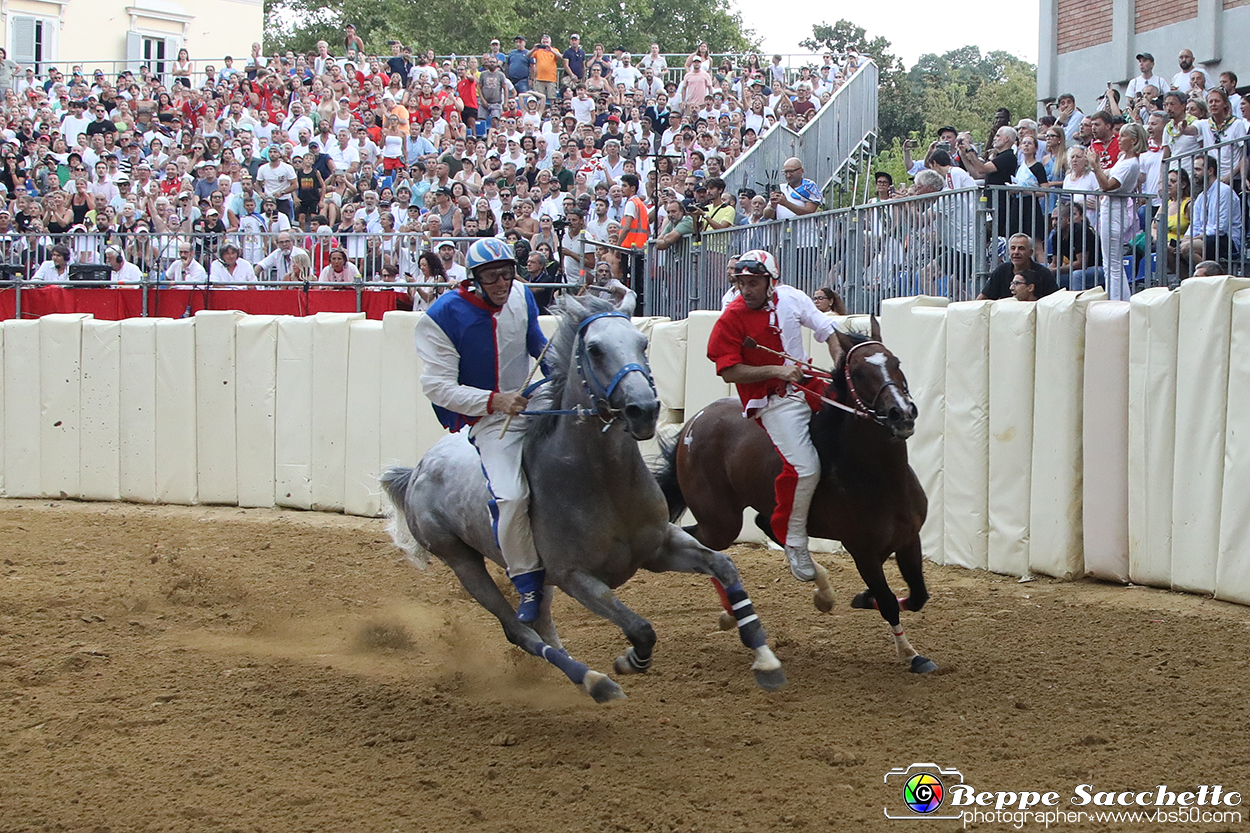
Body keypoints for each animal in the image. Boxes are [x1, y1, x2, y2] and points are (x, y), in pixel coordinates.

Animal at [380, 295, 780, 695]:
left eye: (643, 342)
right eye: (595, 349)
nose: (644, 409)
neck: (603, 485)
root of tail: (417, 470)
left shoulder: (659, 547)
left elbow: (724, 566)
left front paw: (765, 658)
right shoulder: (575, 577)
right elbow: (641, 629)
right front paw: (629, 661)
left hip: (537, 580)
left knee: (541, 623)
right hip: (462, 561)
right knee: (520, 631)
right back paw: (594, 681)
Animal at [655, 320, 940, 670]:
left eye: (895, 362)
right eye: (858, 373)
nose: (901, 413)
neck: (881, 478)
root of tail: (694, 421)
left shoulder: (909, 538)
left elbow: (917, 596)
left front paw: (865, 600)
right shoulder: (863, 552)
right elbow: (887, 601)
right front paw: (909, 653)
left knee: (766, 525)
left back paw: (818, 588)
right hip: (720, 521)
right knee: (705, 544)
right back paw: (731, 614)